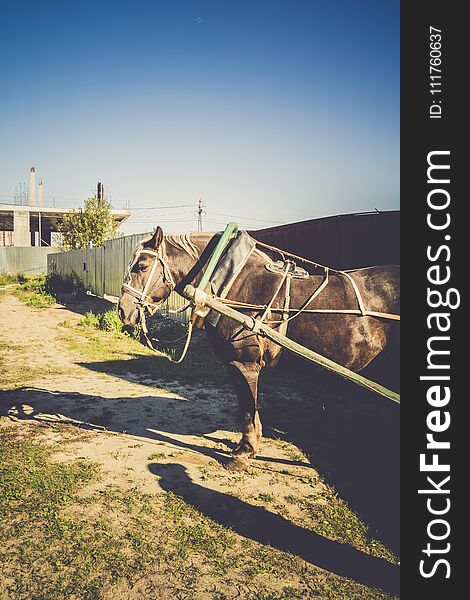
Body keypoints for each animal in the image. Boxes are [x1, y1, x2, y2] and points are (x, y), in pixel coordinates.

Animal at [118, 227, 400, 472]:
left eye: (141, 266)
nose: (122, 310)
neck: (231, 283)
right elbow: (249, 408)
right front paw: (252, 443)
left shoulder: (244, 364)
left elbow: (247, 406)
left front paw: (243, 453)